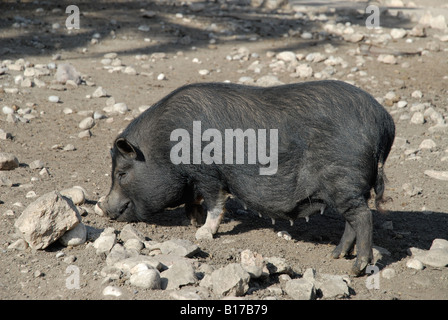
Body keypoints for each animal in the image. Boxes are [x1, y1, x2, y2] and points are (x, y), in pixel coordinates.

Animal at [100, 80, 394, 276]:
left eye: (122, 173)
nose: (105, 209)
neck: (164, 147)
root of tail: (385, 123)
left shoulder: (209, 172)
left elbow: (215, 200)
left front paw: (203, 232)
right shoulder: (194, 177)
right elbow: (194, 198)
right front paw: (192, 221)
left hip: (344, 180)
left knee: (363, 217)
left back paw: (356, 269)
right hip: (346, 188)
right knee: (352, 221)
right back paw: (335, 256)